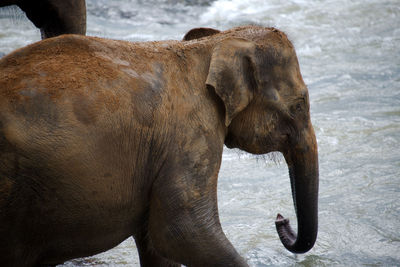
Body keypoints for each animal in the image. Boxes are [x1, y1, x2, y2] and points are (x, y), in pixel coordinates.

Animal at [0, 25, 318, 267]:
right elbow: (182, 231)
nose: (280, 218)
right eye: (299, 105)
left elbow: (156, 243)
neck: (213, 44)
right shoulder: (190, 133)